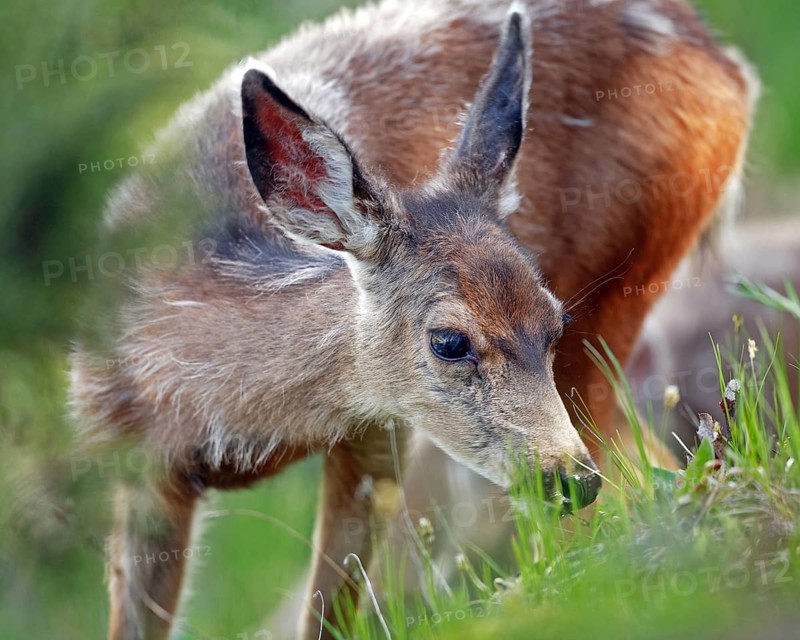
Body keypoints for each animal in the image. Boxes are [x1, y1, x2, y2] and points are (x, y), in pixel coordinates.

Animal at [68, 0, 757, 638]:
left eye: (550, 322)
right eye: (449, 340)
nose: (566, 479)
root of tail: (730, 65)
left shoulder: (378, 435)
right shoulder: (128, 468)